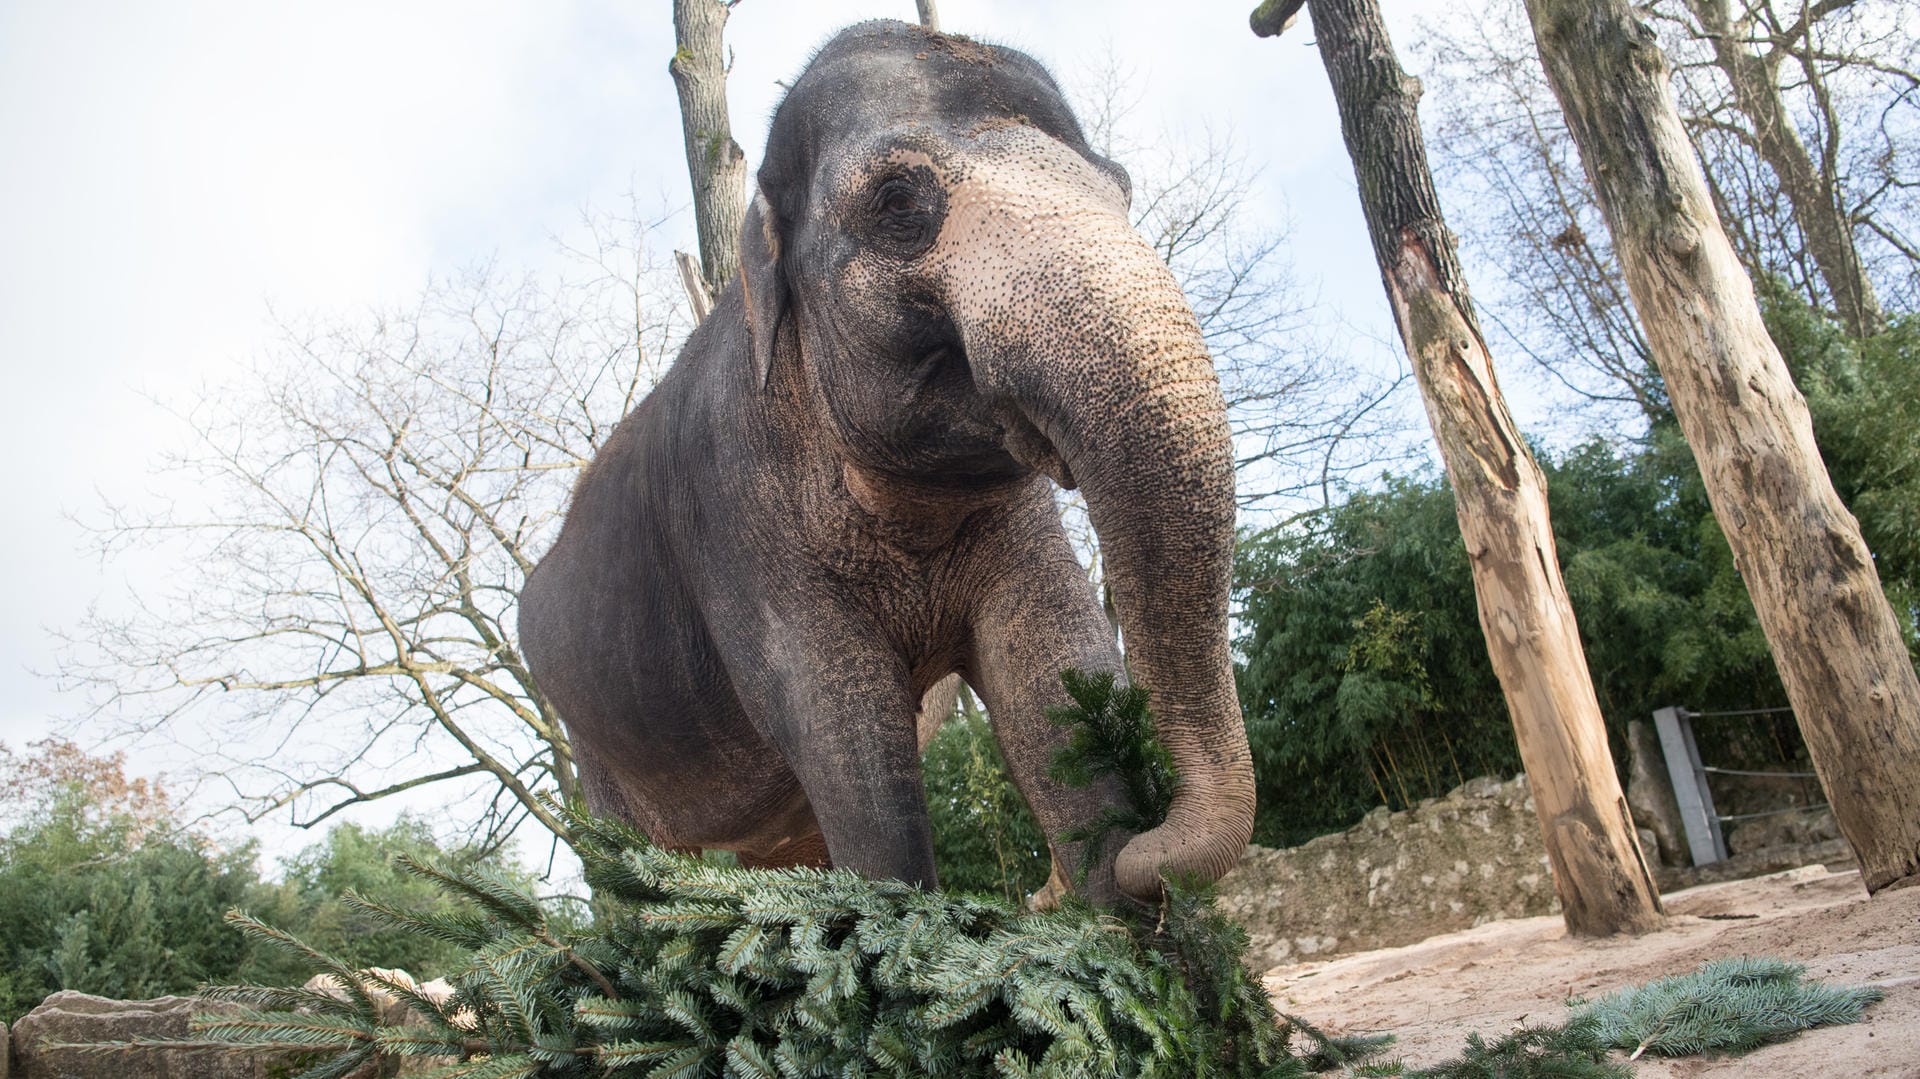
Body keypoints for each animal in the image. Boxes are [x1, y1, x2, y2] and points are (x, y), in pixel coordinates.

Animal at [518, 20, 1251, 902]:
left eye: (1123, 188)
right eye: (900, 201)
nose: (1154, 843)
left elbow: (1056, 673)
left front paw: (1117, 875)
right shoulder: (739, 531)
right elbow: (854, 758)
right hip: (584, 735)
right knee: (628, 867)